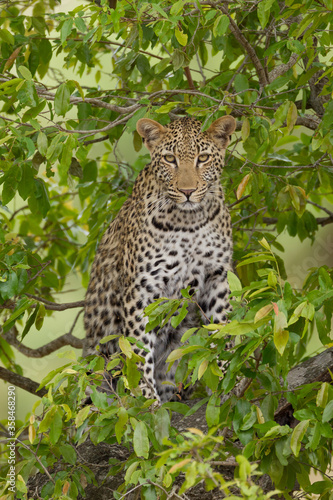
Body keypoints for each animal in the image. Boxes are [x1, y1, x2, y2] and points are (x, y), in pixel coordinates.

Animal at [84, 116, 237, 402]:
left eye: (203, 158)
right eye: (169, 158)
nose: (187, 191)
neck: (189, 222)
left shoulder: (216, 277)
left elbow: (223, 328)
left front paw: (228, 376)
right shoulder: (142, 289)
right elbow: (137, 348)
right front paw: (144, 398)